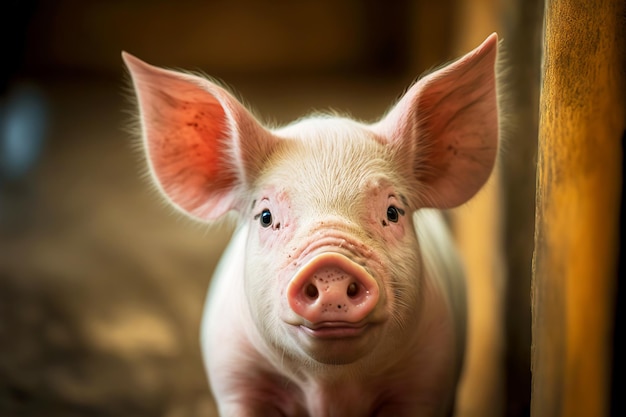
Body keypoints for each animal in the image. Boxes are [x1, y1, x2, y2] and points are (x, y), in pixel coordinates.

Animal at [123, 33, 498, 416]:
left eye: (393, 212)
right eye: (266, 217)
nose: (330, 265)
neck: (330, 388)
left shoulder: (428, 377)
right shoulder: (235, 378)